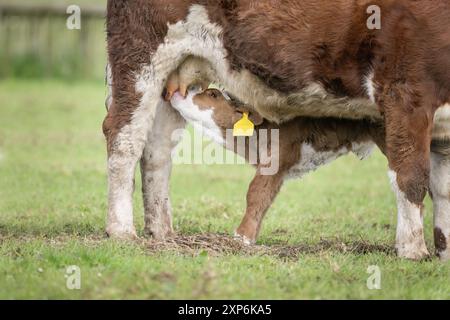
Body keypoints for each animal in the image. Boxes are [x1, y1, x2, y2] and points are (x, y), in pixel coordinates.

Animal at [103, 0, 450, 260]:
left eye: (214, 95)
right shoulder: (406, 92)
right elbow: (412, 176)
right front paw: (414, 250)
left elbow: (442, 187)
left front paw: (443, 251)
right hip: (142, 53)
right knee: (124, 135)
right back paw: (121, 230)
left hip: (177, 71)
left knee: (157, 148)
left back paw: (162, 232)